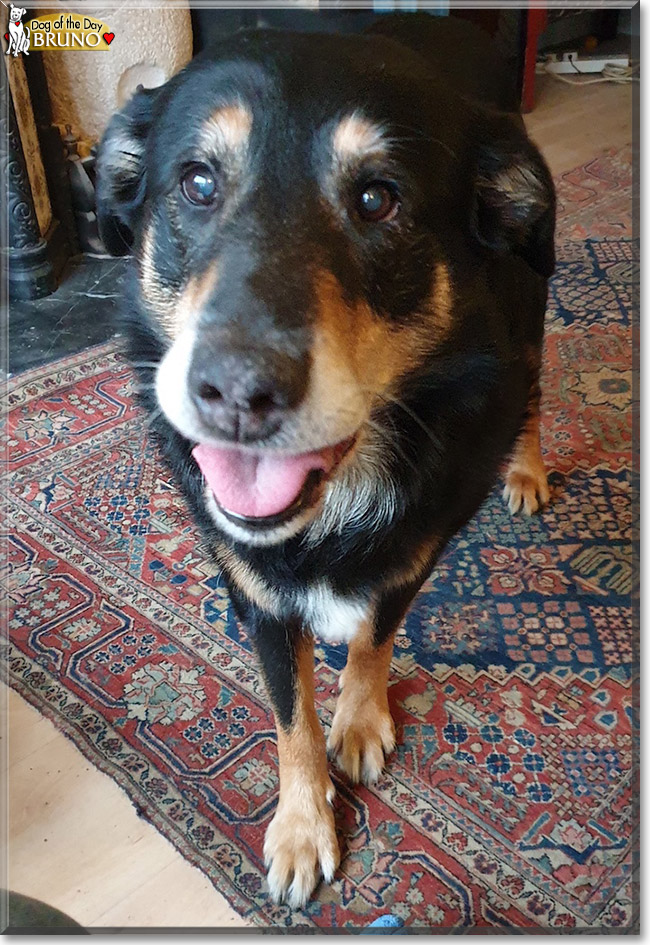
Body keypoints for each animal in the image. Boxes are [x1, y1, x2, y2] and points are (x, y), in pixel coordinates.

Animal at [96, 14, 552, 912]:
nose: (236, 389)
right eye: (197, 183)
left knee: (534, 390)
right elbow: (289, 714)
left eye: (378, 198)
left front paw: (362, 719)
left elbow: (373, 638)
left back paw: (526, 469)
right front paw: (303, 825)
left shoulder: (413, 552)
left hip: (535, 298)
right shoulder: (255, 590)